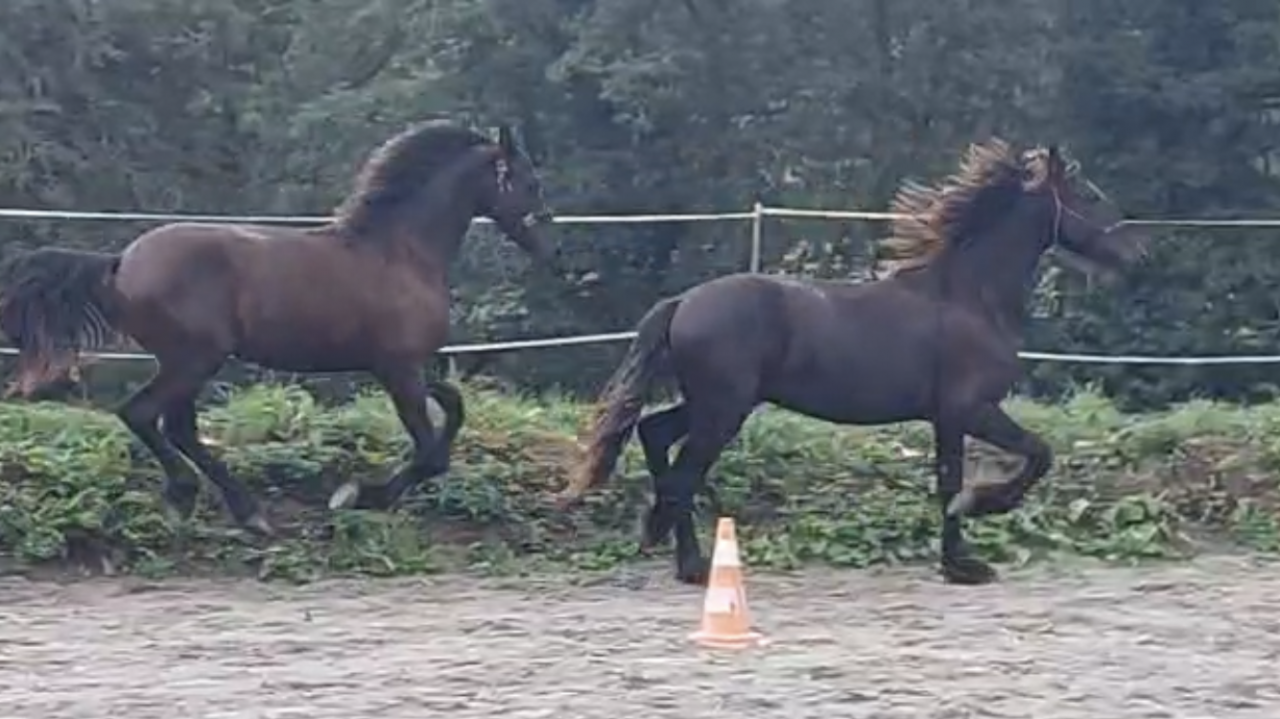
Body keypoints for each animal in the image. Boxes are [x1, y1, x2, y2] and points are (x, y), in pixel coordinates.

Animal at [0, 119, 557, 536]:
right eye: (530, 182)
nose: (549, 243)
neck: (399, 251)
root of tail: (120, 264)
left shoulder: (407, 367)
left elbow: (452, 413)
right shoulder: (398, 368)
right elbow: (428, 451)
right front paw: (359, 496)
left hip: (188, 362)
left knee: (175, 426)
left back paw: (233, 508)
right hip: (195, 358)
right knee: (143, 415)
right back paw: (212, 502)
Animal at [559, 140, 1150, 586]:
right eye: (1087, 194)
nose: (1135, 254)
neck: (967, 297)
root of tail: (684, 302)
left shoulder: (945, 418)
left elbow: (947, 481)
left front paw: (958, 561)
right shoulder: (971, 408)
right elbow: (1032, 455)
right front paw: (979, 517)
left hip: (713, 403)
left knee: (656, 434)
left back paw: (674, 549)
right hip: (723, 409)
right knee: (682, 472)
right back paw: (691, 562)